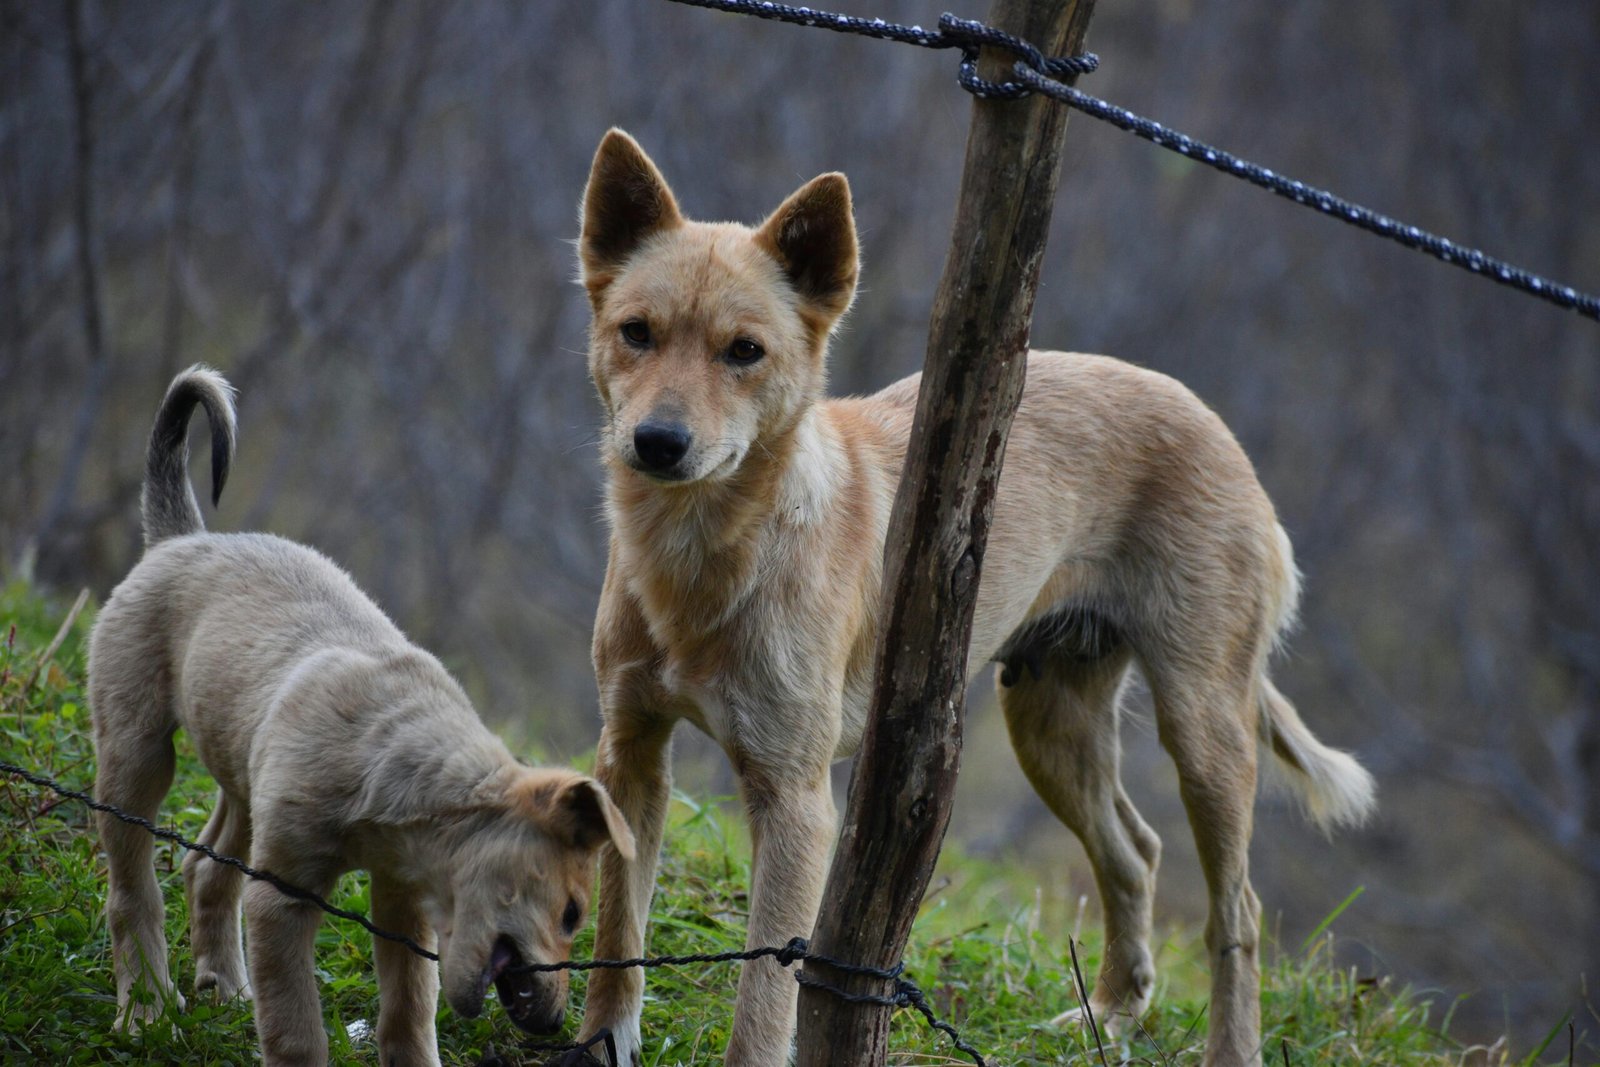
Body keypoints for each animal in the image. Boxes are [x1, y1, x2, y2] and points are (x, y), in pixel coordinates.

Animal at [90, 367, 633, 1067]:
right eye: (570, 915)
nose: (552, 1025)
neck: (397, 766)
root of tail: (184, 537)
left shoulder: (402, 899)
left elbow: (409, 1008)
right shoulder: (282, 899)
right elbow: (295, 1028)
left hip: (242, 775)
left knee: (208, 866)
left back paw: (223, 985)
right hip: (137, 753)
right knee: (134, 895)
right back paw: (147, 1011)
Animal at [576, 133, 1376, 1067]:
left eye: (745, 351)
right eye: (636, 332)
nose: (658, 442)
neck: (704, 561)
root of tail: (1214, 424)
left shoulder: (796, 799)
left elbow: (764, 999)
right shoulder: (631, 751)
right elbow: (616, 933)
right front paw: (598, 1042)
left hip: (1203, 723)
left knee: (1236, 909)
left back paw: (1226, 1047)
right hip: (1050, 716)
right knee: (1135, 853)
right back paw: (1110, 1012)